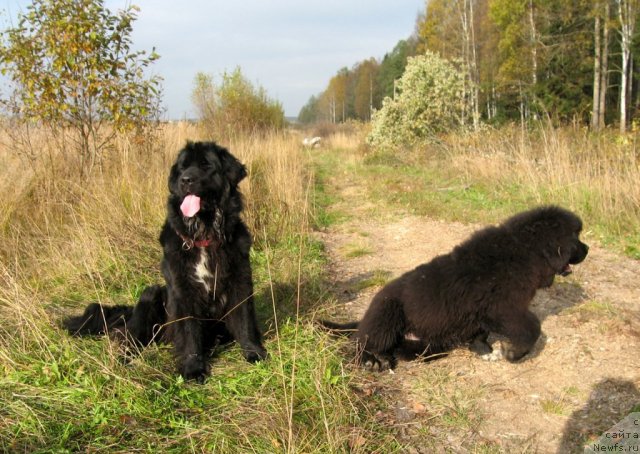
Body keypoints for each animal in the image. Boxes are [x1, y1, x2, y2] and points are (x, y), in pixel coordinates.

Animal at [320, 207, 592, 370]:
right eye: (575, 237)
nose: (588, 249)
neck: (524, 251)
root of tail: (364, 318)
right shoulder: (504, 309)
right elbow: (532, 328)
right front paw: (513, 353)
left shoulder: (481, 315)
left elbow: (480, 333)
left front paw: (483, 349)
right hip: (387, 314)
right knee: (361, 343)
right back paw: (374, 361)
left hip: (427, 343)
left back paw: (392, 355)